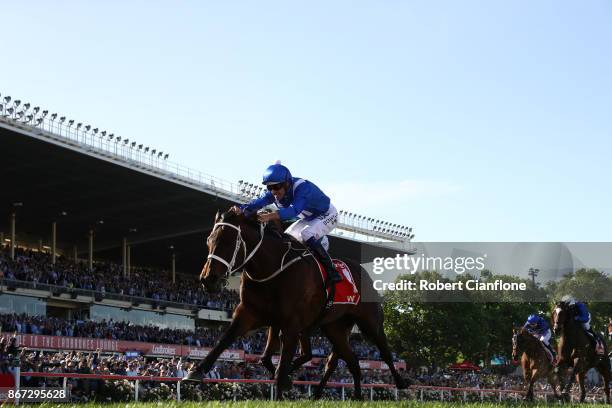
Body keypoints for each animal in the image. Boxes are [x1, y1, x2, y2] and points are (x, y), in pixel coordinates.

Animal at [184, 210, 408, 398]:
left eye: (228, 241)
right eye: (209, 240)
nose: (207, 279)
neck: (272, 268)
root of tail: (363, 272)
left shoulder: (290, 322)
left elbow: (282, 362)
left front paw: (282, 386)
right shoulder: (251, 314)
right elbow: (227, 341)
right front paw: (196, 372)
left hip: (370, 321)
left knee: (384, 352)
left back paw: (401, 383)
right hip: (334, 327)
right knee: (350, 362)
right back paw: (348, 396)